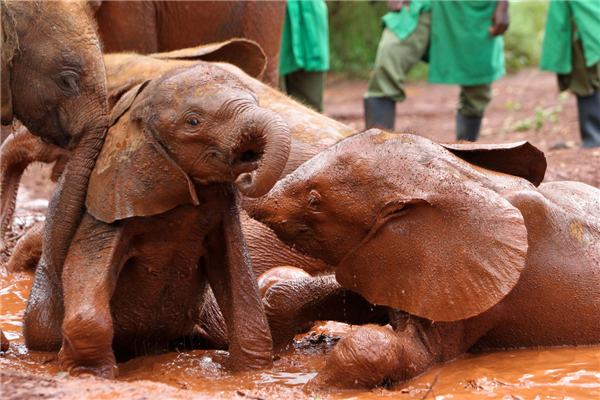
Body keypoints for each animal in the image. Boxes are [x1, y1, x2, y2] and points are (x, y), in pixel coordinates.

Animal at [21, 62, 290, 378]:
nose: (249, 172)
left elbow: (237, 276)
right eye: (193, 122)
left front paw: (252, 373)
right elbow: (85, 266)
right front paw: (91, 374)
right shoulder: (110, 198)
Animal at [245, 130, 600, 392]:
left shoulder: (473, 288)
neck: (456, 178)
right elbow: (362, 301)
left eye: (315, 202)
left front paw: (308, 390)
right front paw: (275, 356)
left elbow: (406, 351)